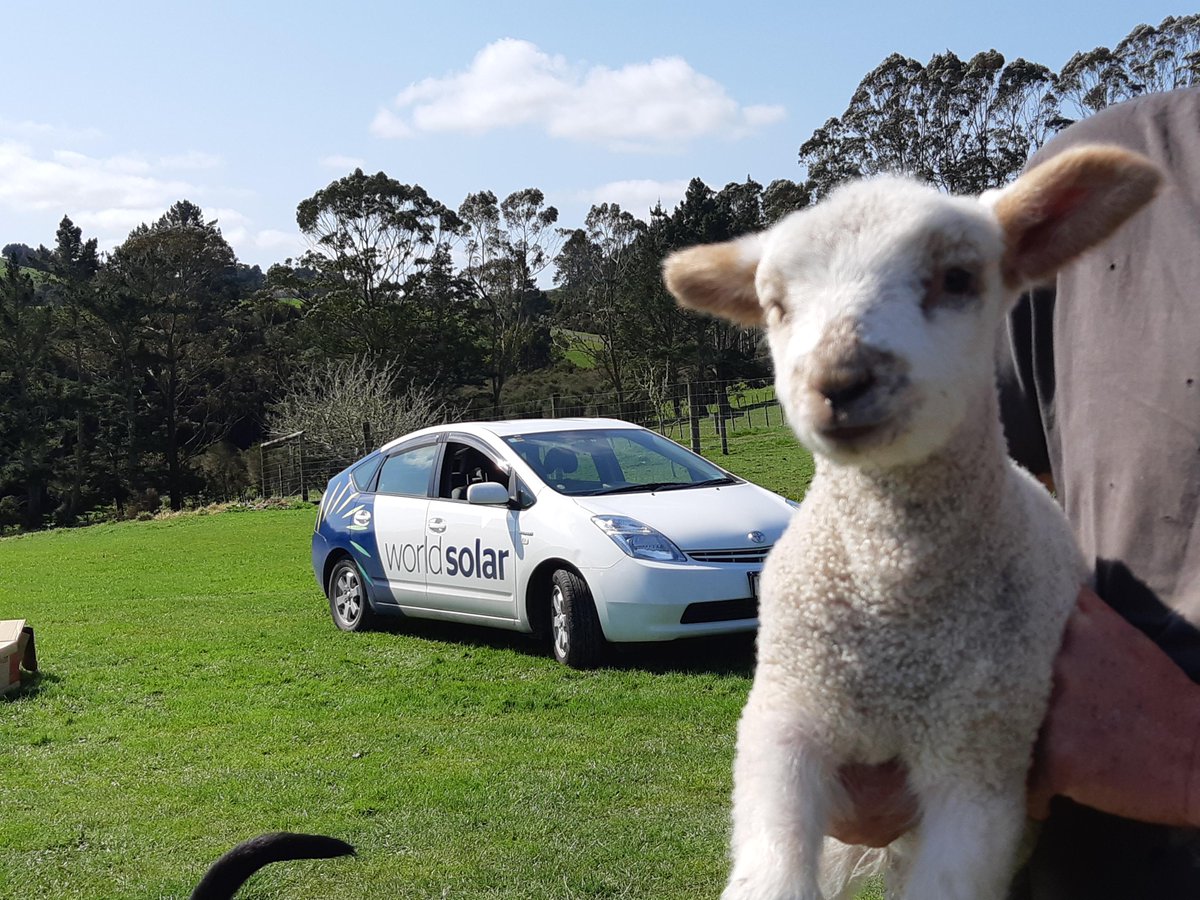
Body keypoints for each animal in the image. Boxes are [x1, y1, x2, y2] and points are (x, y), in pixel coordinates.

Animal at [662, 146, 1162, 900]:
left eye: (958, 278)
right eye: (777, 306)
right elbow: (774, 874)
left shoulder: (979, 763)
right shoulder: (785, 718)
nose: (839, 381)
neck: (893, 609)